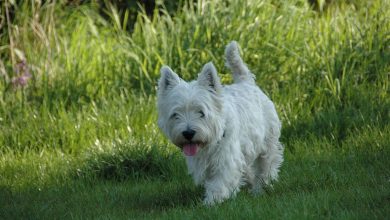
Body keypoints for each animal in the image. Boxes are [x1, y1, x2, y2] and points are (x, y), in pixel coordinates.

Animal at [156, 40, 284, 205]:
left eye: (201, 112)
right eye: (175, 115)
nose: (188, 133)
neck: (208, 143)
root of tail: (247, 82)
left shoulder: (226, 158)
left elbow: (220, 182)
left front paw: (211, 202)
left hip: (268, 141)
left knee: (266, 164)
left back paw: (260, 188)